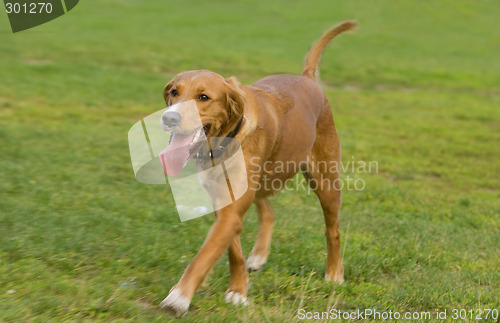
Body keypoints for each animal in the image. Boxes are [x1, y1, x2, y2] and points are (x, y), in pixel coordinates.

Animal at [158, 20, 358, 316]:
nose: (169, 118)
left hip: (326, 182)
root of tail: (308, 78)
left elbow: (205, 255)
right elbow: (232, 251)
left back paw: (334, 273)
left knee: (332, 230)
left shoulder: (232, 208)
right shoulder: (224, 202)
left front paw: (180, 296)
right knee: (269, 212)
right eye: (174, 92)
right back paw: (259, 256)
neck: (222, 144)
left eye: (203, 97)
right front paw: (238, 289)